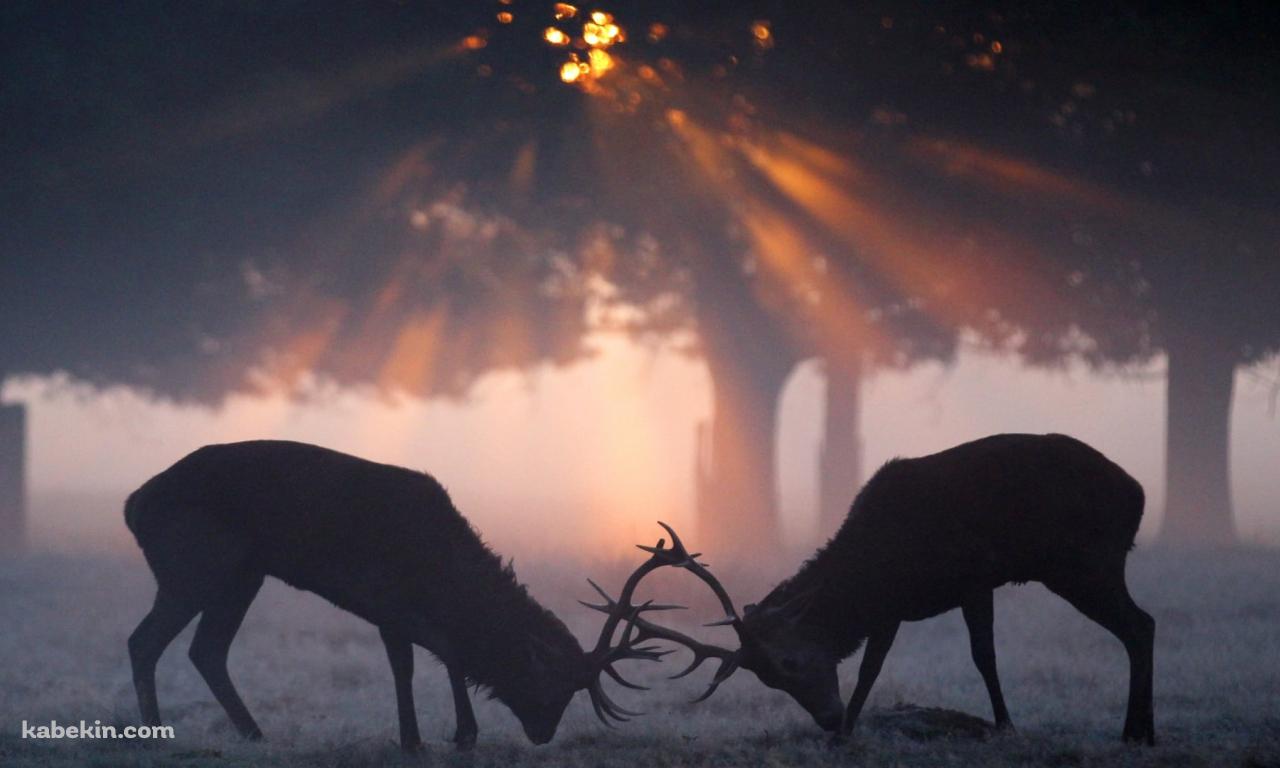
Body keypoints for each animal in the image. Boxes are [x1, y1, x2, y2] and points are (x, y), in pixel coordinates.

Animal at [124, 440, 664, 750]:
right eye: (553, 684)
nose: (543, 734)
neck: (439, 572)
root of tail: (132, 506)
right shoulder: (385, 597)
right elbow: (414, 663)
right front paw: (428, 738)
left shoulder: (403, 610)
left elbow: (442, 656)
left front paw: (451, 735)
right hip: (192, 566)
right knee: (144, 641)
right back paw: (154, 738)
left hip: (241, 575)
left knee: (205, 650)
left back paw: (255, 734)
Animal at [594, 435, 1156, 745]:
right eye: (769, 682)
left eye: (790, 662)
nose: (827, 717)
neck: (877, 568)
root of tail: (1138, 494)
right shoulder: (894, 605)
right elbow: (877, 663)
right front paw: (847, 732)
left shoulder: (971, 580)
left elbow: (979, 656)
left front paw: (1005, 726)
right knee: (1141, 624)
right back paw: (1140, 730)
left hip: (1084, 564)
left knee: (1141, 624)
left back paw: (1137, 732)